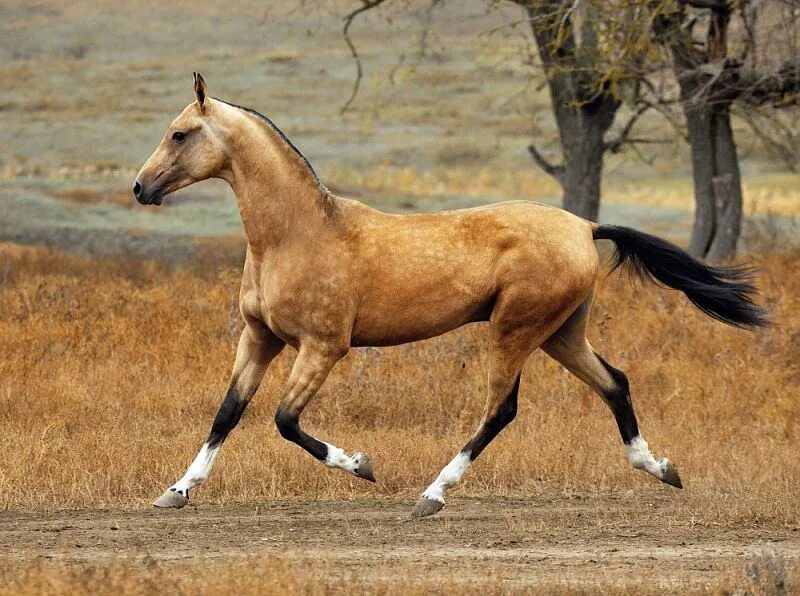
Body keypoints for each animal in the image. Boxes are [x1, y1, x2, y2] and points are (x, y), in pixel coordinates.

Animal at [133, 72, 768, 516]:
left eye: (180, 133)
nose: (140, 187)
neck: (295, 234)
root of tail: (584, 226)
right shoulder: (260, 338)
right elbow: (228, 412)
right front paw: (177, 491)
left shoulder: (323, 346)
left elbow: (285, 421)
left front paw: (361, 465)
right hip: (561, 333)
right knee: (614, 383)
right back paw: (659, 467)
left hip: (515, 330)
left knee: (501, 409)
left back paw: (432, 495)